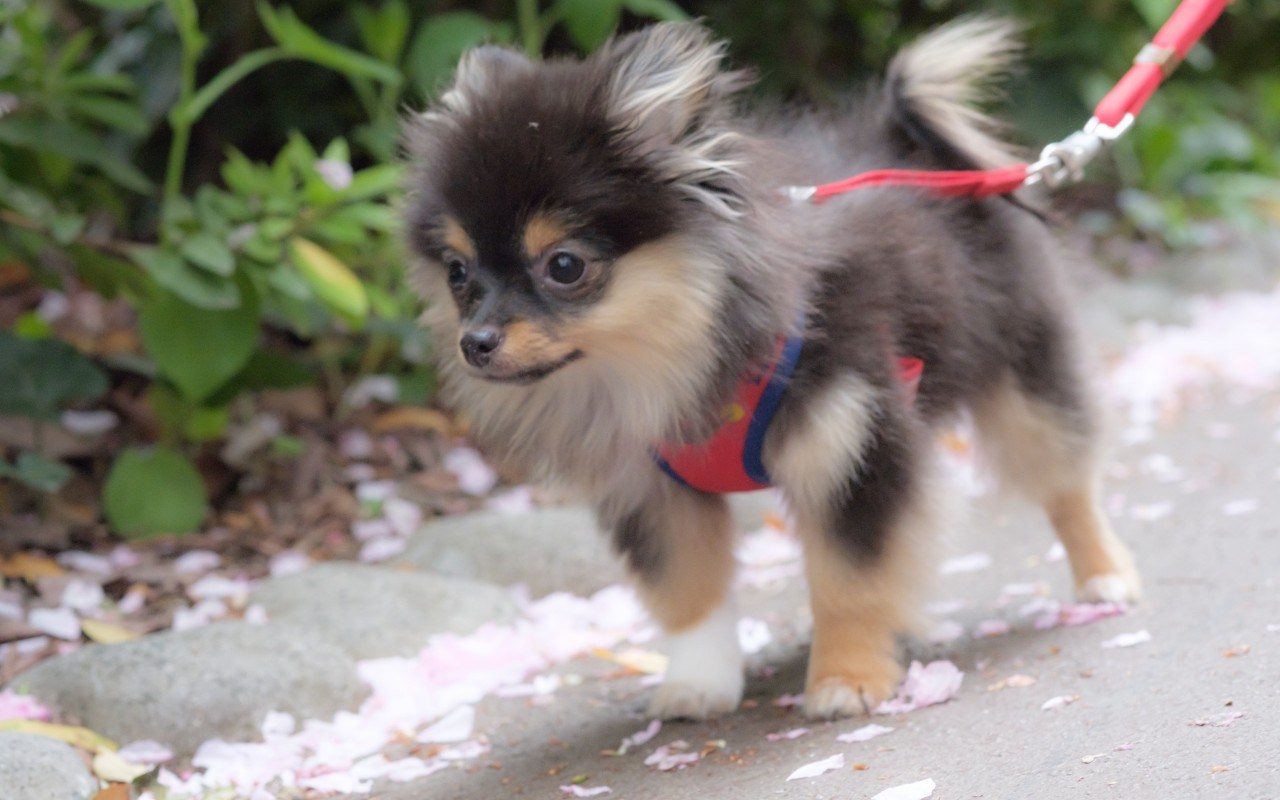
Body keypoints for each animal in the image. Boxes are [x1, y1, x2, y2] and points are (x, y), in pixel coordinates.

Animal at [401, 17, 1141, 716]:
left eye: (563, 266)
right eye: (458, 272)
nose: (476, 341)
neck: (684, 359)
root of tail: (913, 147)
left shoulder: (853, 444)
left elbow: (849, 578)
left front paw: (848, 679)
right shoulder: (654, 488)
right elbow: (690, 592)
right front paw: (698, 684)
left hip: (1022, 374)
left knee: (1064, 477)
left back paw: (1105, 577)